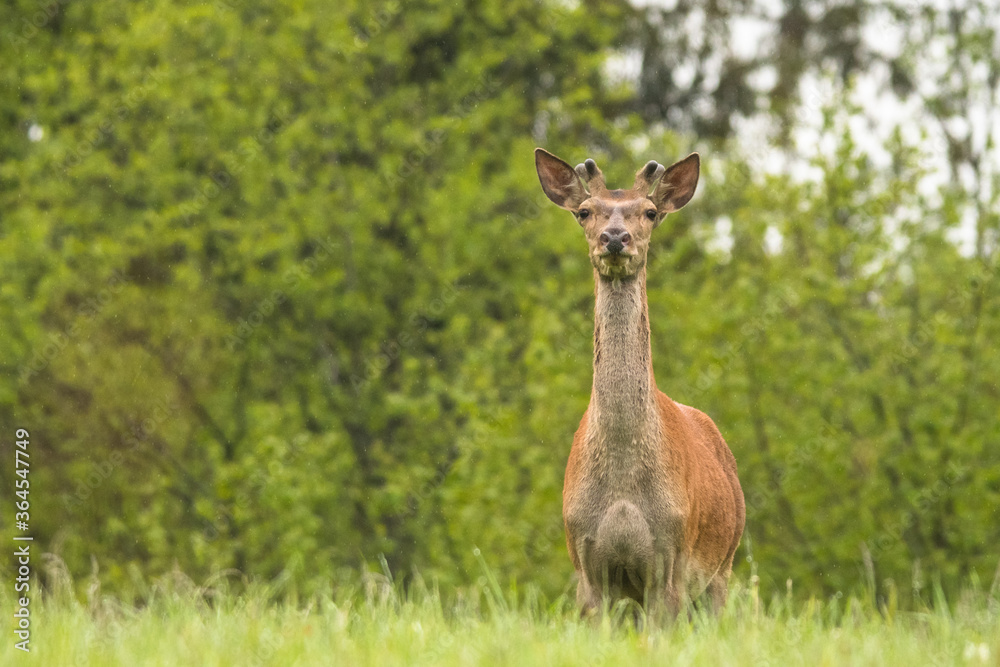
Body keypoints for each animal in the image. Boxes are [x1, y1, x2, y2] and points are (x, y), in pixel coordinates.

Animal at [534, 148, 745, 619]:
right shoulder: (587, 565)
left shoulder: (670, 561)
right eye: (584, 211)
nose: (615, 237)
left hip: (723, 564)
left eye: (649, 212)